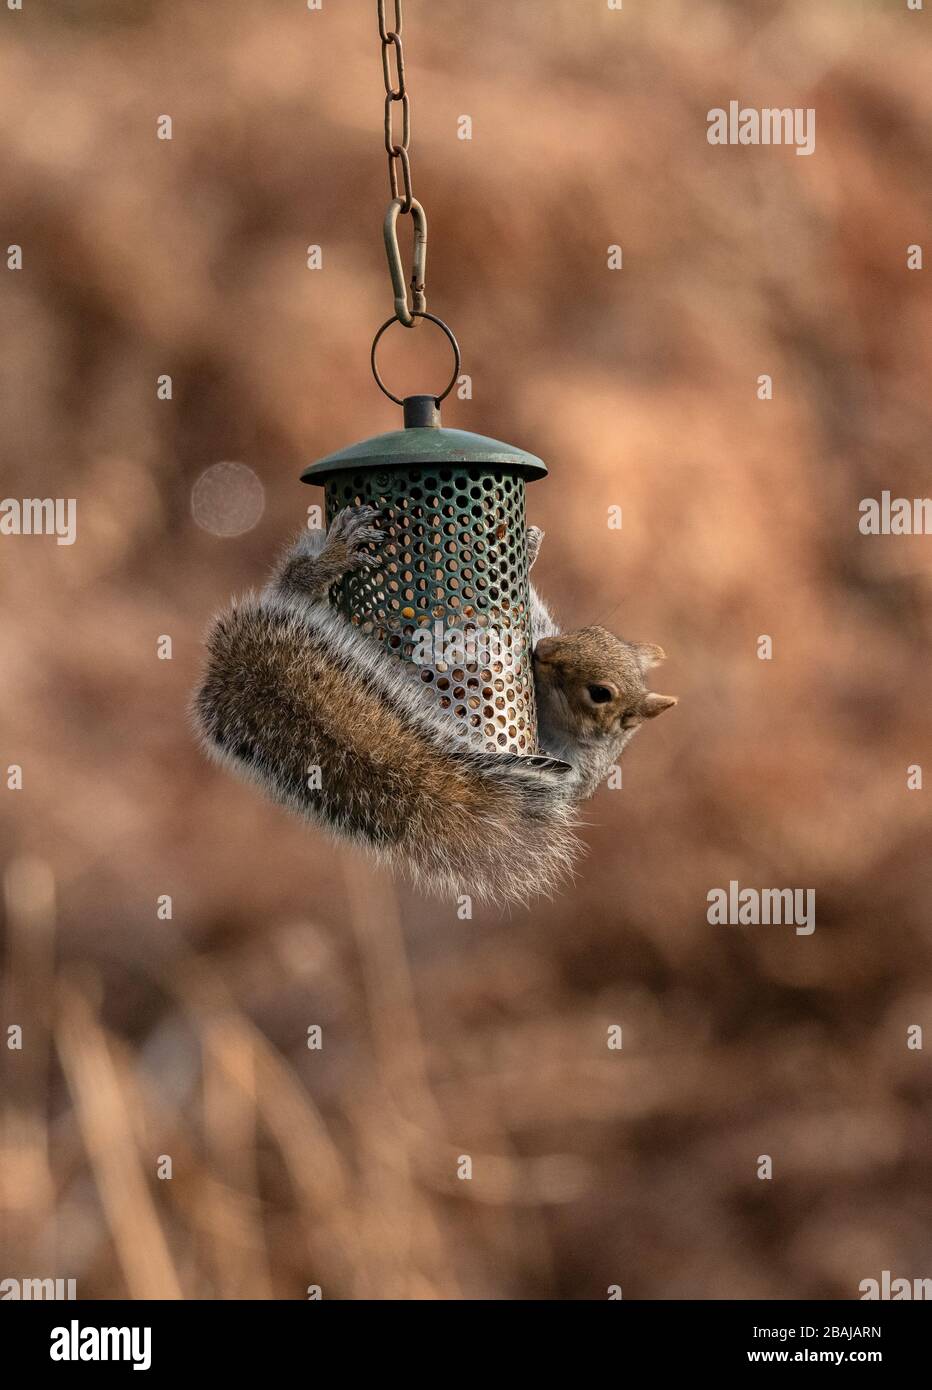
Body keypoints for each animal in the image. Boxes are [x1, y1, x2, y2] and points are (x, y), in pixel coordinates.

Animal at [193, 505, 676, 906]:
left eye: (600, 693)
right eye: (588, 631)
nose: (542, 652)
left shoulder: (579, 773)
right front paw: (528, 551)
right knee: (293, 580)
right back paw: (330, 559)